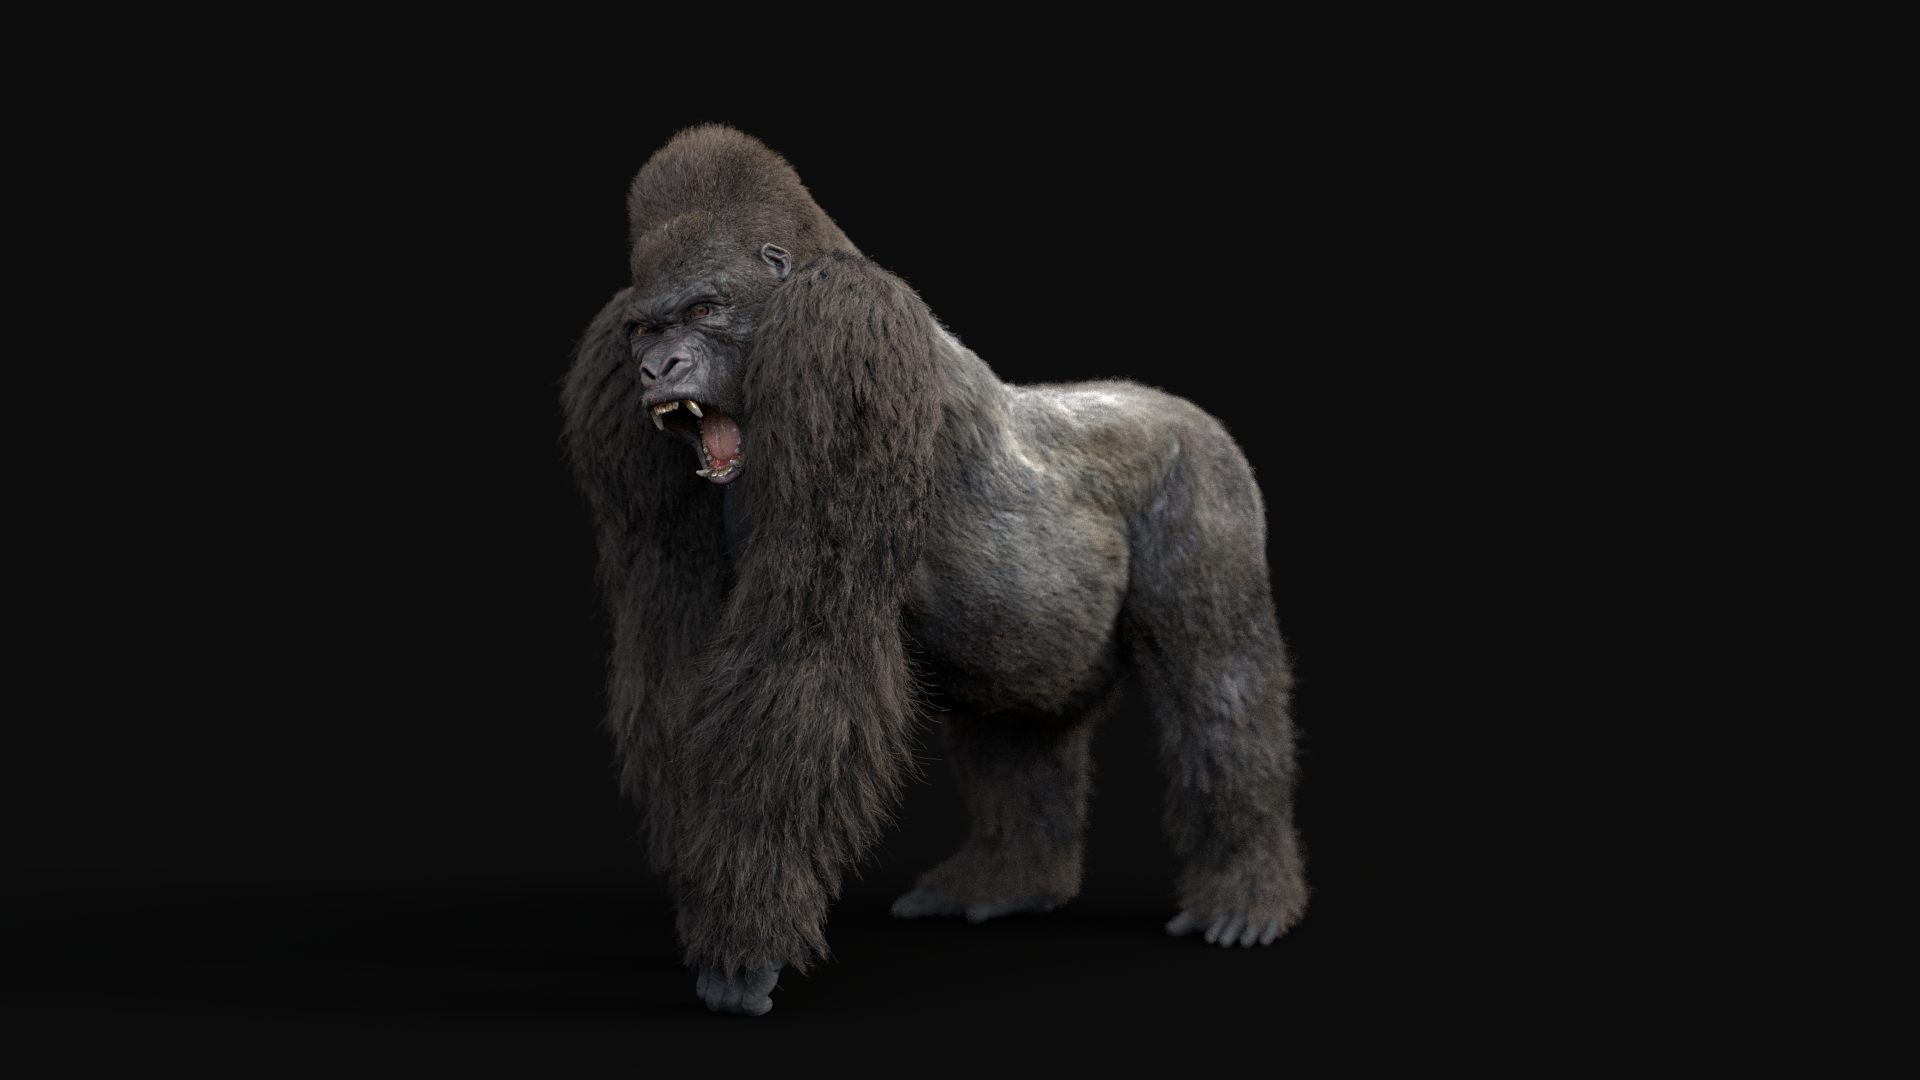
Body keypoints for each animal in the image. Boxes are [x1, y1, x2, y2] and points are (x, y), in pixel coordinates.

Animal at [562, 125, 1306, 1017]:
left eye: (704, 311)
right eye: (645, 330)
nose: (659, 369)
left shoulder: (842, 330)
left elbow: (806, 646)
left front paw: (743, 938)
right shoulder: (609, 378)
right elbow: (672, 653)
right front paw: (713, 898)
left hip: (1208, 471)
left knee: (1219, 682)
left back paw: (1245, 888)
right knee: (1018, 722)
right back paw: (1008, 879)